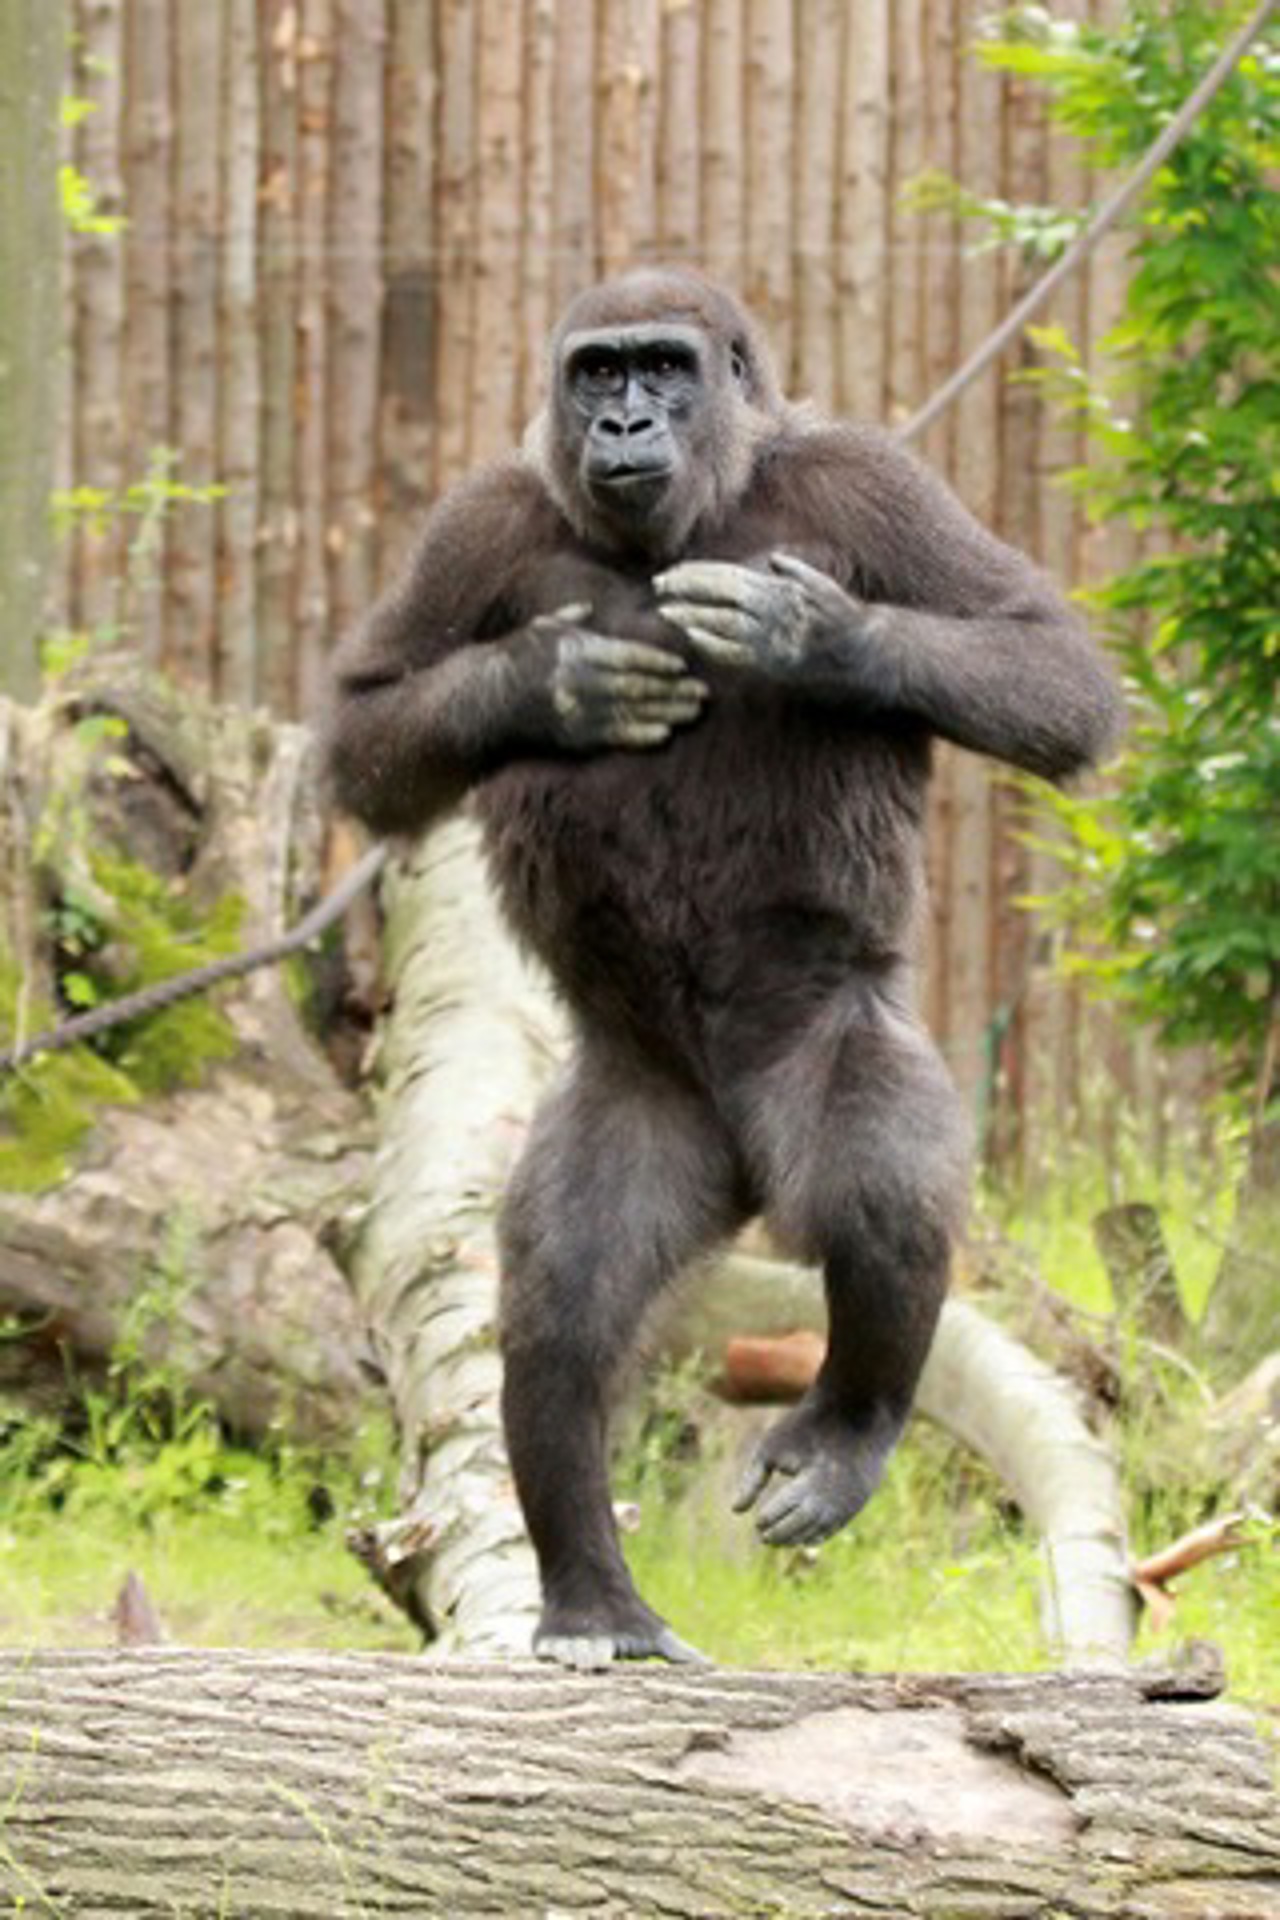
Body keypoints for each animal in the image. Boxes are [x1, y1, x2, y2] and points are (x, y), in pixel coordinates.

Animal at [326, 267, 1123, 1669]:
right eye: (597, 372)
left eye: (664, 368)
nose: (624, 424)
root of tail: (744, 1164)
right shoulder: (475, 525)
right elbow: (372, 726)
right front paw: (545, 683)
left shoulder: (871, 483)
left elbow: (1047, 664)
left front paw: (820, 642)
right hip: (634, 1097)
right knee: (558, 1309)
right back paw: (591, 1591)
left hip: (828, 1049)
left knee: (877, 1188)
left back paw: (846, 1431)